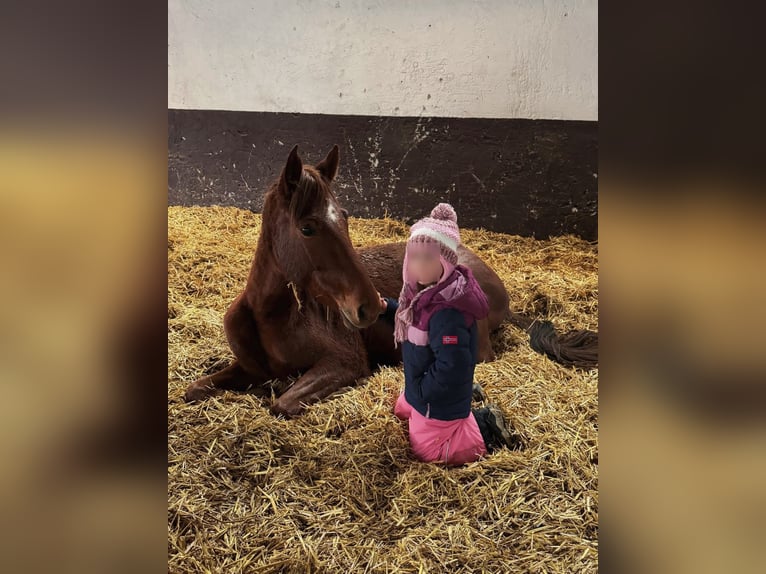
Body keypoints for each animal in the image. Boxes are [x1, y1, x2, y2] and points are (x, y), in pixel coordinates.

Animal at [183, 145, 597, 417]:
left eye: (345, 217)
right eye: (307, 227)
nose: (369, 306)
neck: (273, 316)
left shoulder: (345, 362)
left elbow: (281, 403)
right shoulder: (249, 368)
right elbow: (193, 390)